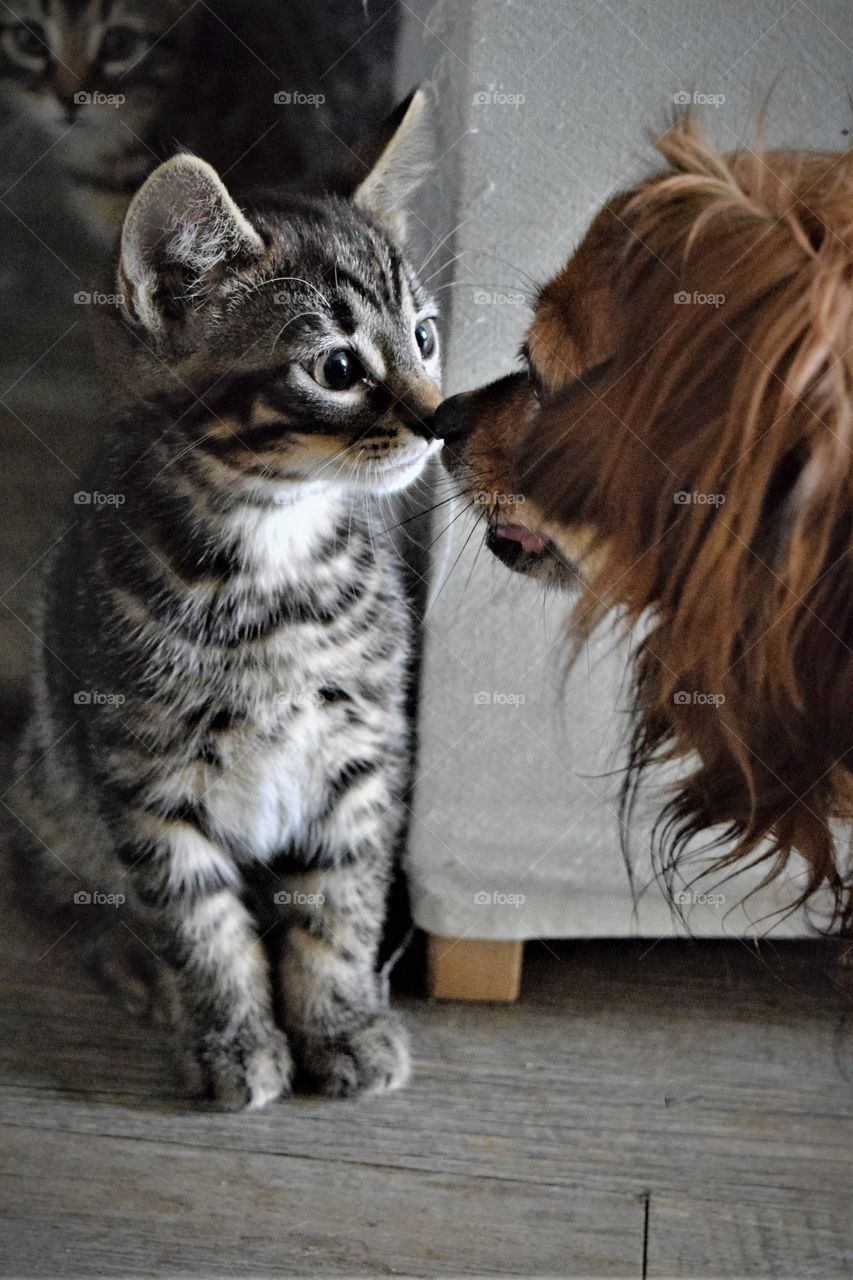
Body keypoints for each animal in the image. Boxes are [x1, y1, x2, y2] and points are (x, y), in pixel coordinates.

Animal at [11, 92, 438, 1111]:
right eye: (336, 369)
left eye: (425, 337)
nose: (443, 418)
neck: (274, 566)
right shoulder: (146, 776)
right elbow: (200, 923)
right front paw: (232, 1034)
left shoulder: (365, 751)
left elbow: (340, 901)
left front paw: (340, 1022)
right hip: (53, 782)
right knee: (54, 883)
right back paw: (132, 959)